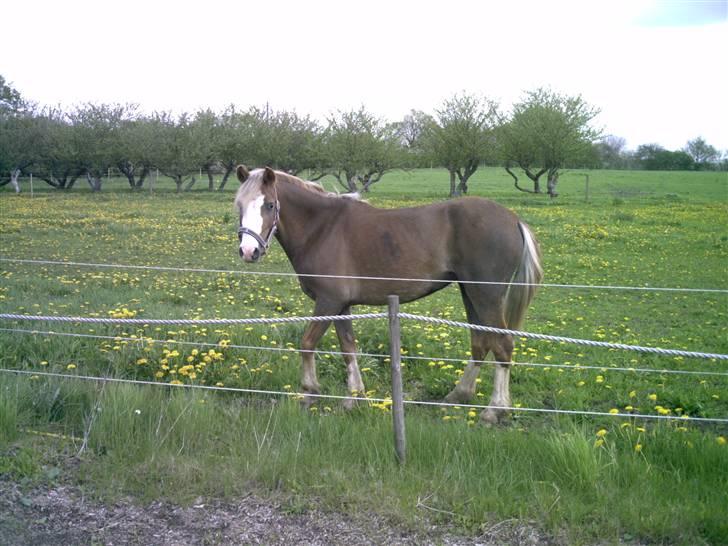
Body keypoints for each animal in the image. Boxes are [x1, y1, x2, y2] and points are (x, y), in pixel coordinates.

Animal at [234, 165, 543, 424]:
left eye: (269, 204)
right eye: (239, 205)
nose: (249, 251)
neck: (322, 228)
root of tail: (513, 219)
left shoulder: (328, 301)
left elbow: (307, 343)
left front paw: (310, 391)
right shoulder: (341, 305)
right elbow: (348, 349)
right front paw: (354, 398)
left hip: (486, 295)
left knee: (502, 346)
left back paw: (494, 411)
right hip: (471, 292)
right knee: (481, 342)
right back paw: (458, 395)